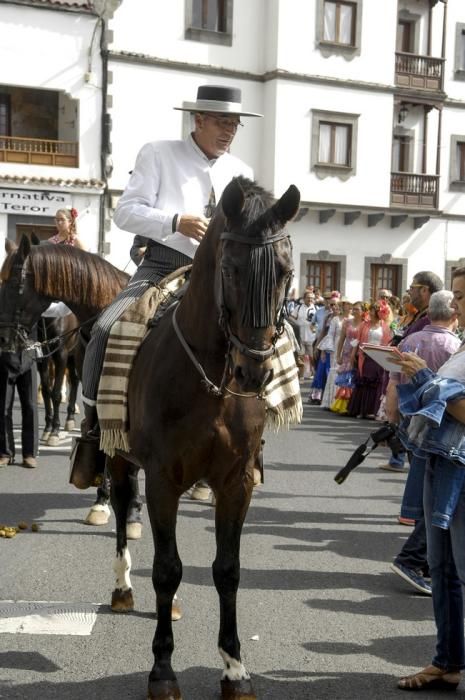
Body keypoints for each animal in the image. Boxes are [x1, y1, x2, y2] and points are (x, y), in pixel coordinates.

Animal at [107, 178, 300, 696]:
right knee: (121, 511)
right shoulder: (162, 480)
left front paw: (234, 668)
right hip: (118, 457)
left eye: (285, 271)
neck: (211, 375)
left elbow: (227, 571)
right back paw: (122, 587)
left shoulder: (236, 482)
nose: (255, 371)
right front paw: (162, 670)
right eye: (230, 269)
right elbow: (168, 569)